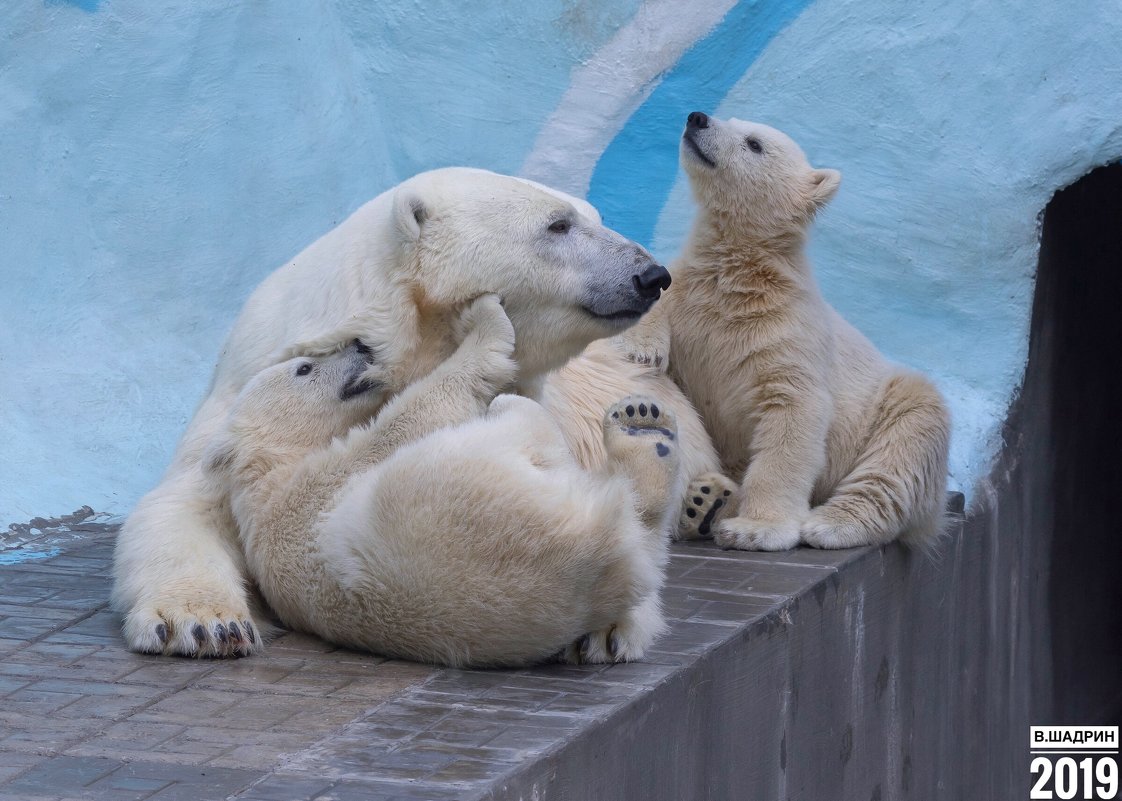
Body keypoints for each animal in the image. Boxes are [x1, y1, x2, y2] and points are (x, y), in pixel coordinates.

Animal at [205, 296, 677, 664]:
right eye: (304, 369)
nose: (360, 344)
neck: (264, 473)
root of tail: (592, 548)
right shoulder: (314, 485)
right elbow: (419, 412)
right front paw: (484, 317)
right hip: (460, 494)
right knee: (520, 423)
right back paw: (642, 439)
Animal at [619, 112, 951, 549]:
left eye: (754, 143)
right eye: (730, 119)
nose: (697, 118)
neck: (740, 274)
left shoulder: (785, 332)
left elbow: (792, 414)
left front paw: (754, 529)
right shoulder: (692, 294)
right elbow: (658, 301)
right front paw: (642, 347)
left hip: (886, 406)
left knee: (905, 444)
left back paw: (829, 523)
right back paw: (702, 501)